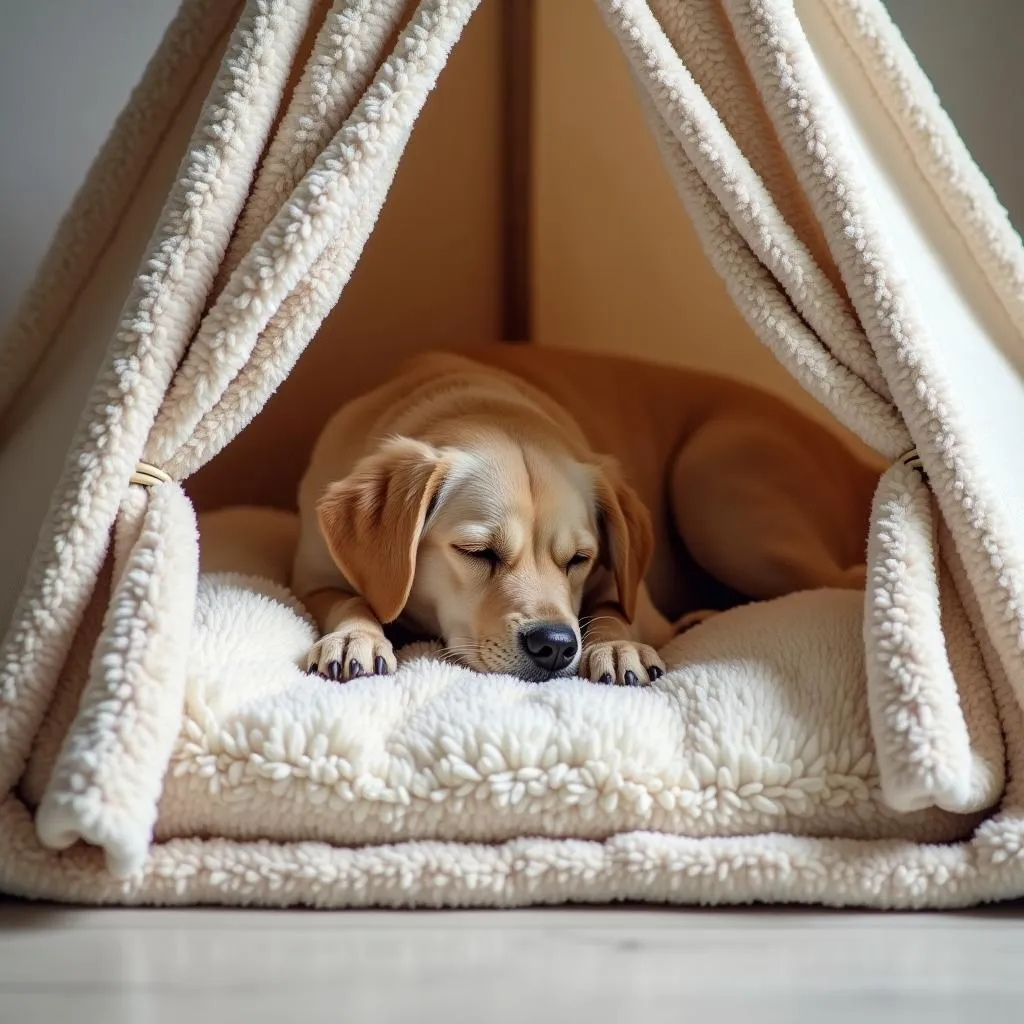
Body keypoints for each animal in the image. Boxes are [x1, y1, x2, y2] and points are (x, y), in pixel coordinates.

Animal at [290, 346, 880, 688]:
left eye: (580, 558)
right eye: (477, 552)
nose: (554, 645)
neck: (475, 404)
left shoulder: (631, 590)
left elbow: (614, 609)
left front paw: (615, 645)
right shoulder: (313, 575)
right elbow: (349, 597)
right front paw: (356, 636)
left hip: (718, 496)